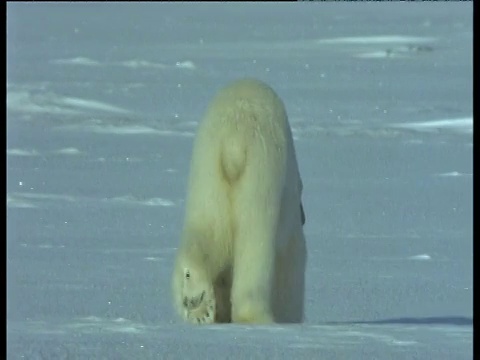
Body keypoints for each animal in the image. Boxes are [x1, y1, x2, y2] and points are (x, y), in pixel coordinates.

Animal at [172, 78, 306, 324]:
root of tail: (234, 137)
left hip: (207, 173)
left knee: (206, 227)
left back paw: (198, 303)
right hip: (263, 173)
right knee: (256, 243)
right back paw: (255, 316)